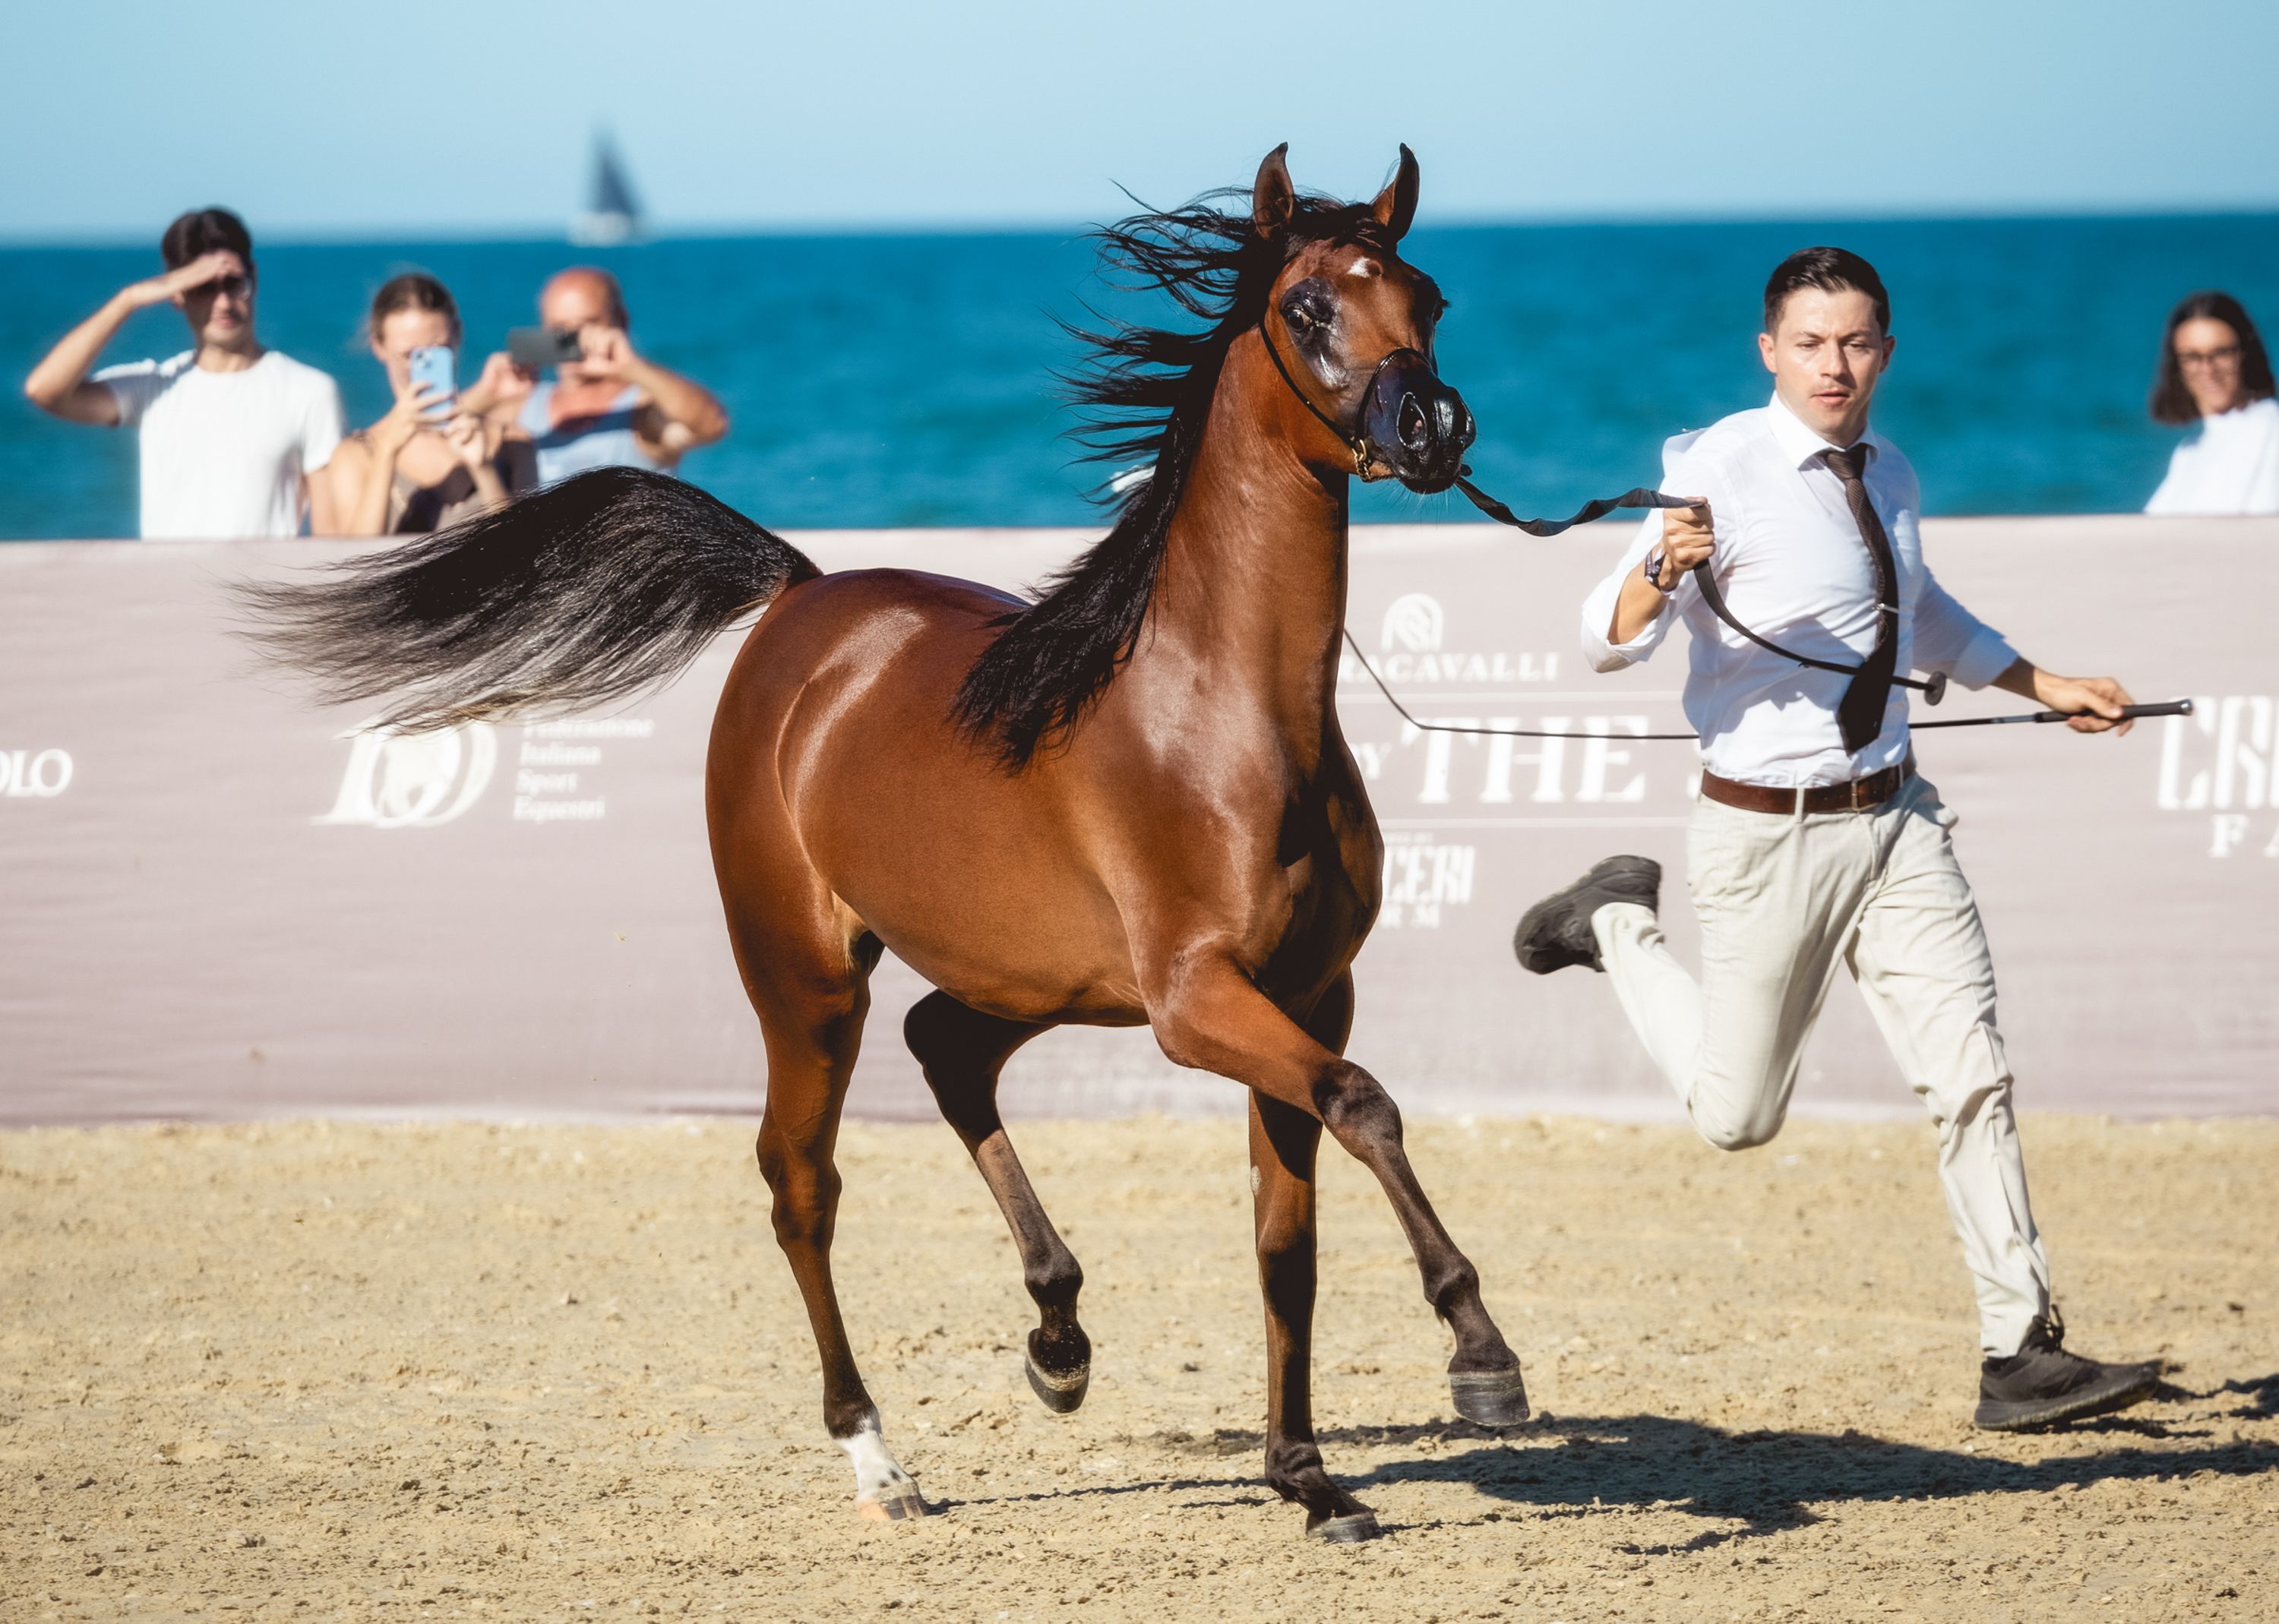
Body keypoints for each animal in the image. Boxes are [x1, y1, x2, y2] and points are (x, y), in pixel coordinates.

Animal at [243, 144, 1526, 1543]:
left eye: (1429, 297)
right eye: (1305, 305)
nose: (1435, 426)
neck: (1221, 716)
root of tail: (801, 595)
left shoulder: (1307, 991)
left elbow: (1287, 1236)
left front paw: (1308, 1477)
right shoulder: (1199, 1003)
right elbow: (1365, 1106)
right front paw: (1480, 1352)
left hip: (1023, 975)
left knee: (944, 1049)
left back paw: (1058, 1339)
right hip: (807, 978)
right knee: (800, 1178)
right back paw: (880, 1457)